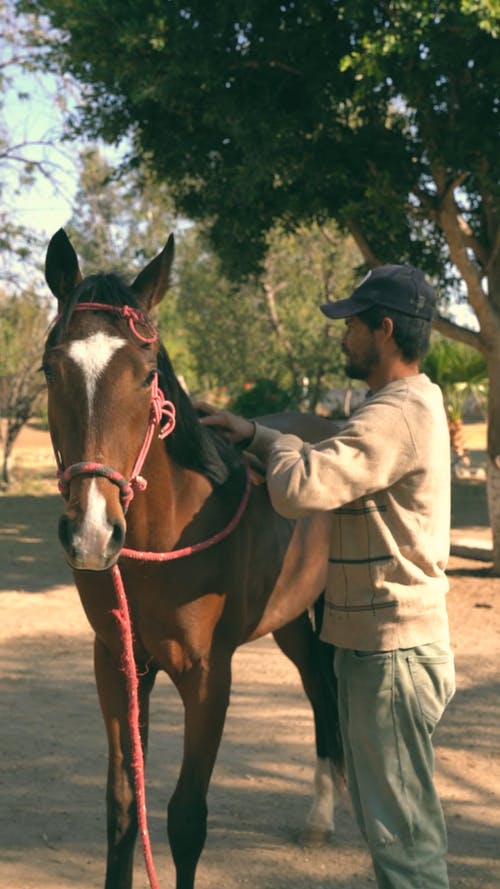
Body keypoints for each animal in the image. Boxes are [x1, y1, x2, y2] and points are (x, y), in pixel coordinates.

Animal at [43, 231, 344, 888]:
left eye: (148, 373)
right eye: (50, 369)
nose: (92, 532)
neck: (160, 549)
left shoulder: (209, 677)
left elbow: (185, 820)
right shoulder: (119, 666)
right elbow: (124, 808)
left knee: (325, 690)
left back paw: (325, 814)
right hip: (290, 622)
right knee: (318, 682)